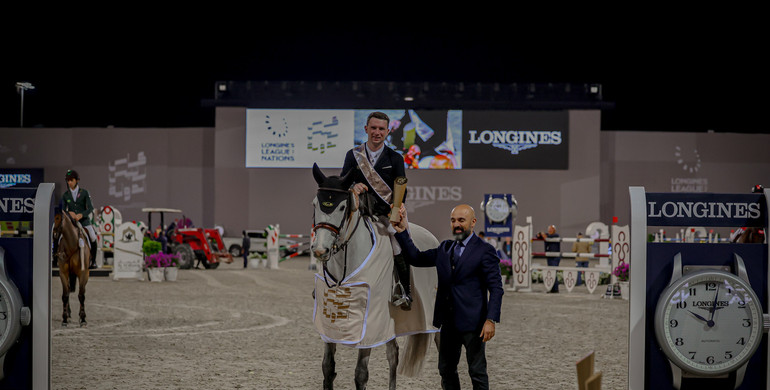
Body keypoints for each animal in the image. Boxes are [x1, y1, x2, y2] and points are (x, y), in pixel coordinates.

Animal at [308, 164, 438, 390]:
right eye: (316, 204)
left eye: (342, 207)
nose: (320, 250)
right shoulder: (329, 318)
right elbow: (327, 367)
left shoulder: (370, 319)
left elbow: (361, 374)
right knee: (393, 353)